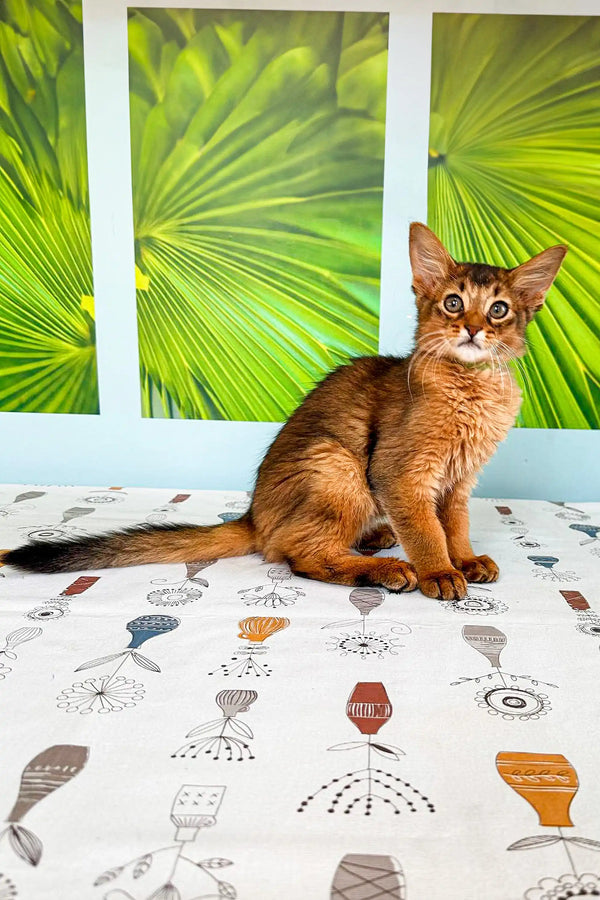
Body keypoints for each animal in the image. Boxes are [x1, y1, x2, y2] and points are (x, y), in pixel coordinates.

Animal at [3, 224, 568, 600]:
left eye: (499, 310)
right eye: (453, 303)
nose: (472, 329)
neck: (472, 388)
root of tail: (254, 516)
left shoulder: (458, 482)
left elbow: (455, 525)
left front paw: (466, 559)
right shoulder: (402, 475)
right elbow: (427, 532)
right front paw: (439, 572)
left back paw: (376, 540)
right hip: (337, 467)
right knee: (296, 553)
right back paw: (383, 570)